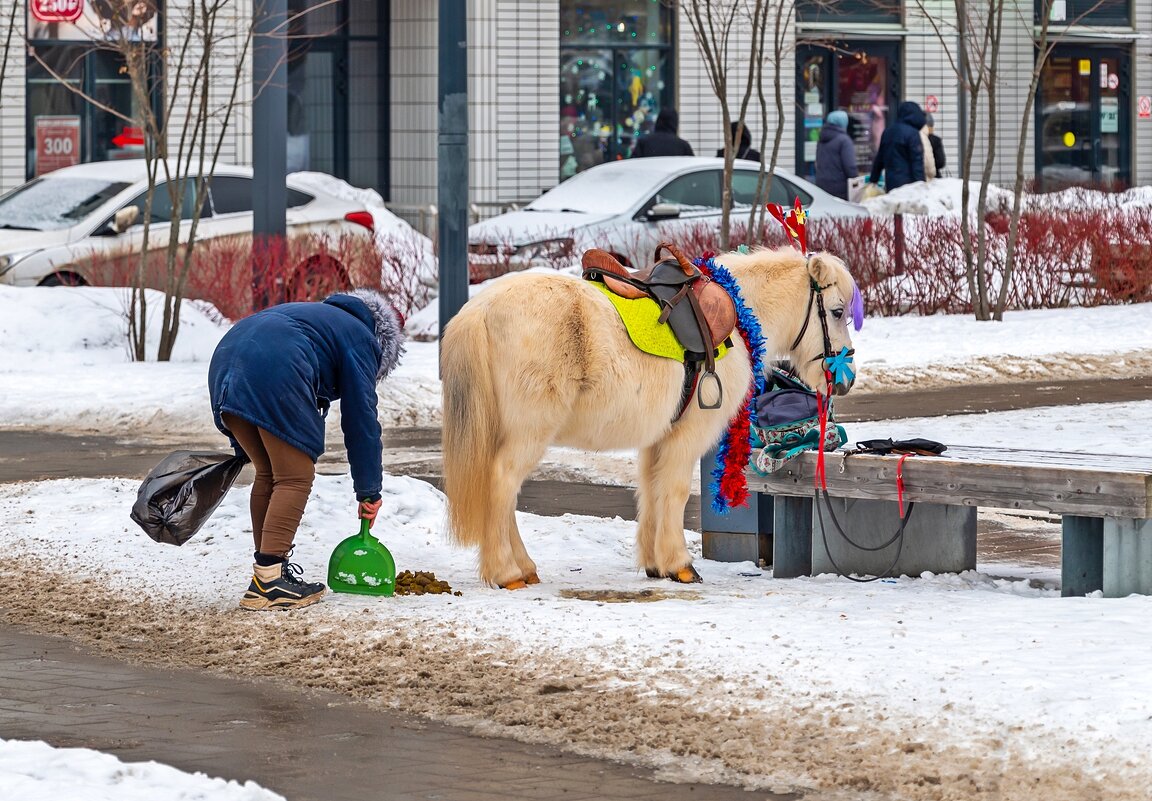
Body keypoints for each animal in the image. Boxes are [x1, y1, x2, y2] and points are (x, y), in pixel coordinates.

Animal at [440, 245, 857, 590]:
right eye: (837, 312)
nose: (845, 379)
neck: (739, 317)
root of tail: (479, 310)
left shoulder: (657, 437)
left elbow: (651, 490)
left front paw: (655, 564)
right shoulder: (686, 437)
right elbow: (673, 492)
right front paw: (680, 565)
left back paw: (523, 567)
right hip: (528, 433)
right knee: (502, 484)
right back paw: (507, 572)